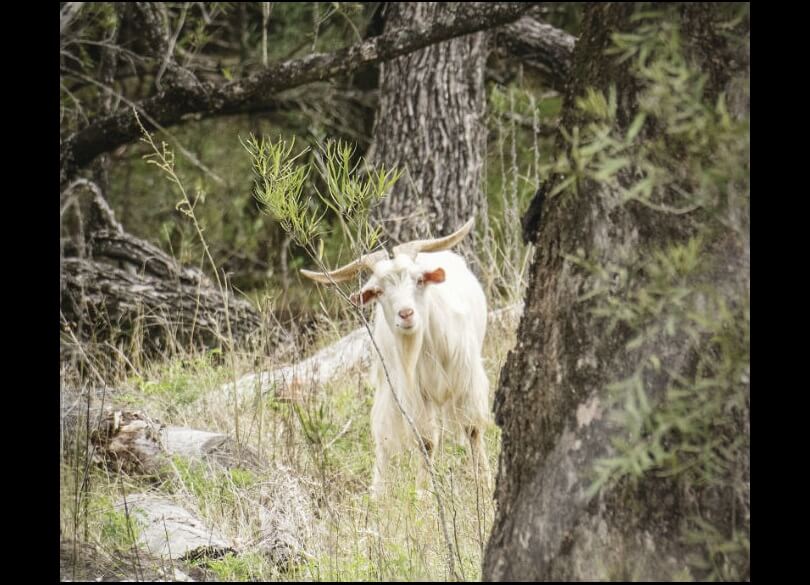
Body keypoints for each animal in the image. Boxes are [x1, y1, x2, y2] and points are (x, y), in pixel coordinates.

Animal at [296, 218, 486, 492]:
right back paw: (377, 491)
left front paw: (485, 483)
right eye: (378, 291)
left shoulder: (468, 379)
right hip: (387, 386)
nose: (406, 314)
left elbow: (472, 429)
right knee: (383, 437)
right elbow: (425, 441)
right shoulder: (412, 392)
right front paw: (423, 493)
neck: (426, 343)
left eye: (419, 280)